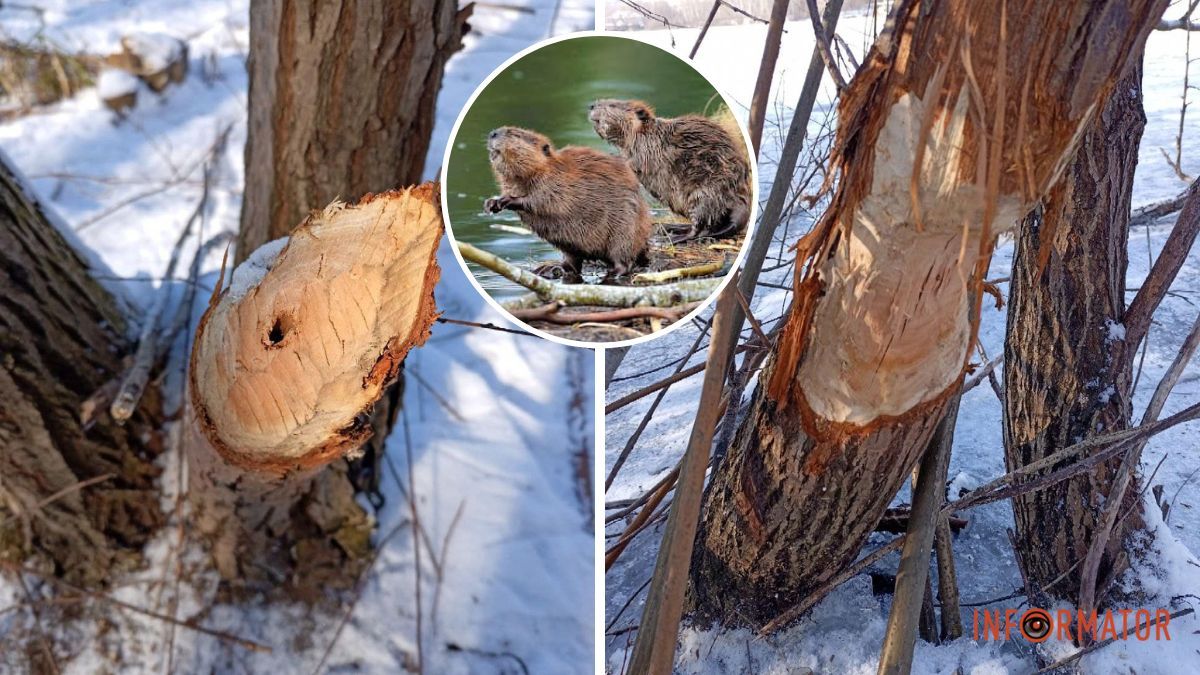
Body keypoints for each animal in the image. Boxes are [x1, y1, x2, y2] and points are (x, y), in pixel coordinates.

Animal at [484, 126, 652, 281]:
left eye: (515, 134)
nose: (492, 133)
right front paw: (491, 203)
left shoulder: (554, 182)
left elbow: (542, 200)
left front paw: (507, 200)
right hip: (569, 247)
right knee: (572, 264)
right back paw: (547, 268)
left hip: (625, 229)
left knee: (624, 259)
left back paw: (613, 273)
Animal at [590, 99, 748, 241]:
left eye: (612, 105)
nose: (591, 105)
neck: (649, 132)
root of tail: (740, 202)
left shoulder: (648, 146)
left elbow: (637, 161)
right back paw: (669, 227)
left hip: (703, 192)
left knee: (701, 227)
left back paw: (674, 236)